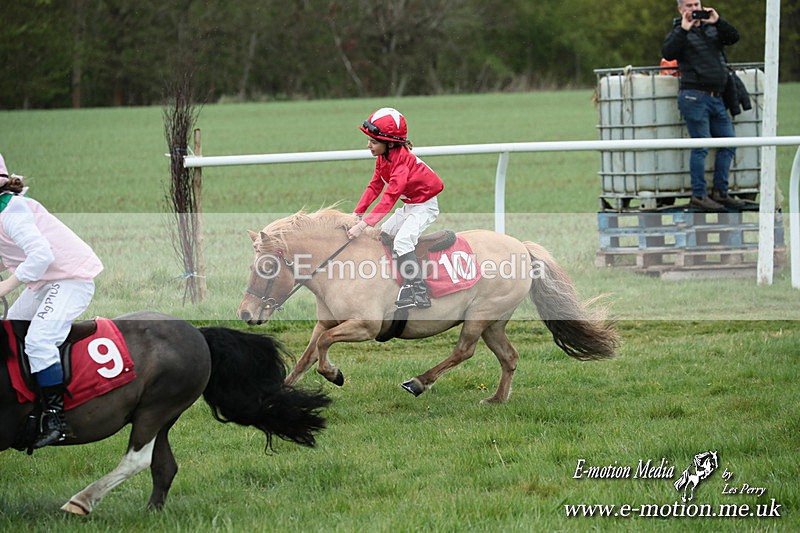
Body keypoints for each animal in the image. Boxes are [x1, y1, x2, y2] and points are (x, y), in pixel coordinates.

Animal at [0, 311, 330, 515]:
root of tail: (198, 333)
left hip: (154, 410)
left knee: (138, 459)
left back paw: (81, 502)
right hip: (161, 417)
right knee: (164, 466)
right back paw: (151, 513)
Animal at [237, 208, 618, 403]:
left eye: (266, 267)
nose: (245, 313)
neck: (338, 265)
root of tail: (522, 248)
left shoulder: (364, 326)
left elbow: (324, 349)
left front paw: (334, 374)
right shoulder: (327, 322)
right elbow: (308, 354)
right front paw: (277, 393)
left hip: (479, 315)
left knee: (464, 351)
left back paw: (419, 382)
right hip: (494, 321)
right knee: (508, 356)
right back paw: (497, 399)